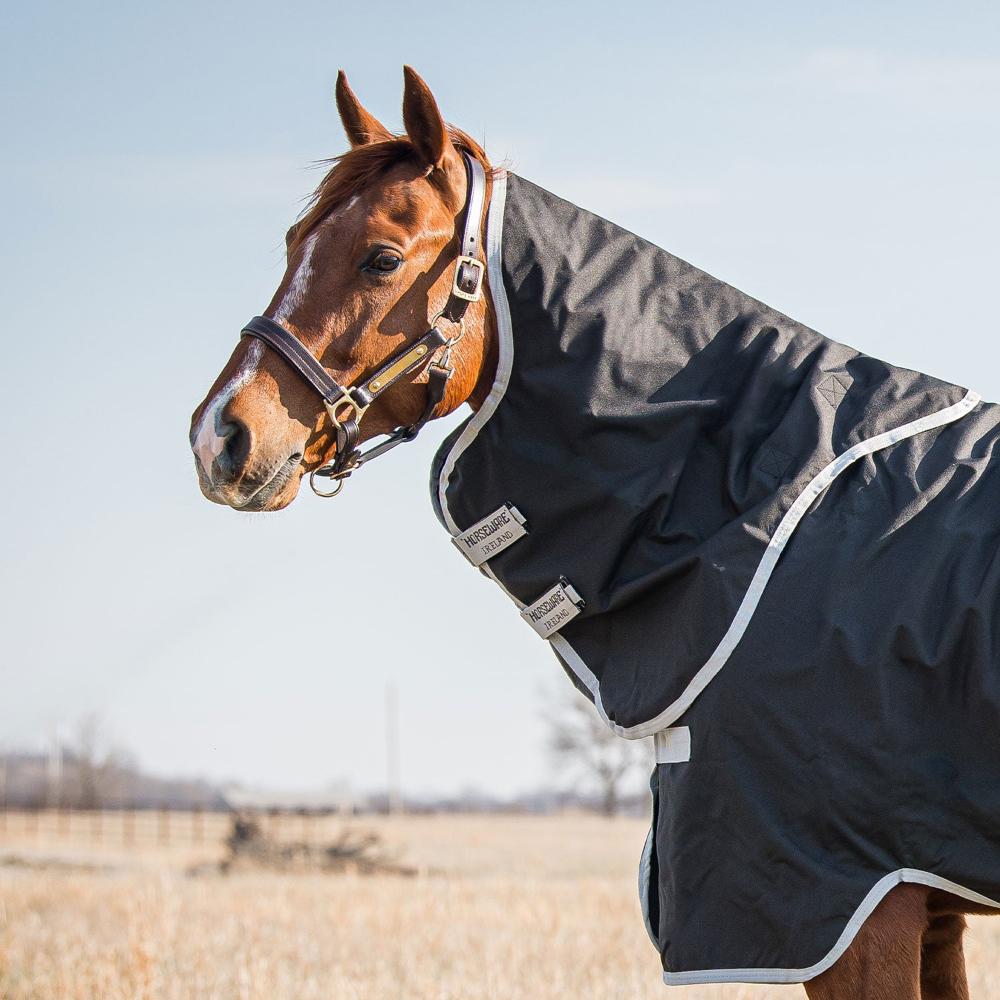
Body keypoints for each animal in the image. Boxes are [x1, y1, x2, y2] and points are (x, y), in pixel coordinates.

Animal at [189, 66, 996, 999]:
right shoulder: (922, 904)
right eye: (293, 241)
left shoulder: (857, 907)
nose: (221, 435)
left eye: (380, 258)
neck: (766, 495)